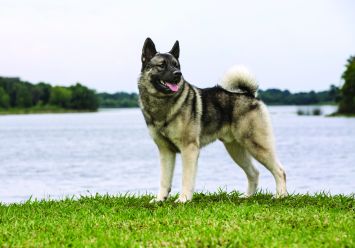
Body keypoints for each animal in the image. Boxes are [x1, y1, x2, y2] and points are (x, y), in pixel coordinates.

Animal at [138, 37, 288, 202]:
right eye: (162, 65)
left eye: (176, 65)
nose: (178, 74)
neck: (162, 103)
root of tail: (249, 95)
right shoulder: (165, 151)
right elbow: (164, 179)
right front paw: (160, 199)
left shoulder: (189, 149)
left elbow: (186, 178)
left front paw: (183, 199)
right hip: (236, 149)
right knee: (254, 173)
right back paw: (247, 197)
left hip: (256, 144)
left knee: (280, 171)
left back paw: (281, 195)